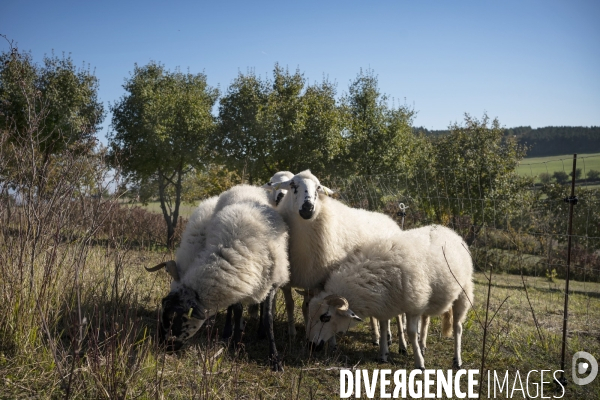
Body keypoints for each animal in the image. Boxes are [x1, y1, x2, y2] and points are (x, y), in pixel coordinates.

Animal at [146, 184, 290, 372]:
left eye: (175, 320)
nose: (164, 347)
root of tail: (245, 186)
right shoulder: (238, 284)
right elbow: (237, 311)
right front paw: (235, 342)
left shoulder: (271, 283)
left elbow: (268, 319)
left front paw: (275, 359)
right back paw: (227, 333)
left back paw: (259, 332)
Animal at [268, 171, 408, 350]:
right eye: (293, 185)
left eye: (318, 187)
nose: (308, 208)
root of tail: (388, 220)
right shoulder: (294, 276)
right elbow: (293, 305)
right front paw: (295, 333)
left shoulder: (321, 280)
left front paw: (331, 342)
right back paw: (377, 336)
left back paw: (393, 339)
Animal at [304, 223, 474, 370]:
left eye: (325, 317)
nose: (311, 345)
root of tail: (449, 231)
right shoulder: (387, 304)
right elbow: (384, 327)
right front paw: (383, 354)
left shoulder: (414, 304)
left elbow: (411, 333)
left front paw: (419, 363)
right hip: (429, 298)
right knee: (426, 320)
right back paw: (423, 345)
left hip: (463, 291)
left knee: (457, 327)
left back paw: (457, 359)